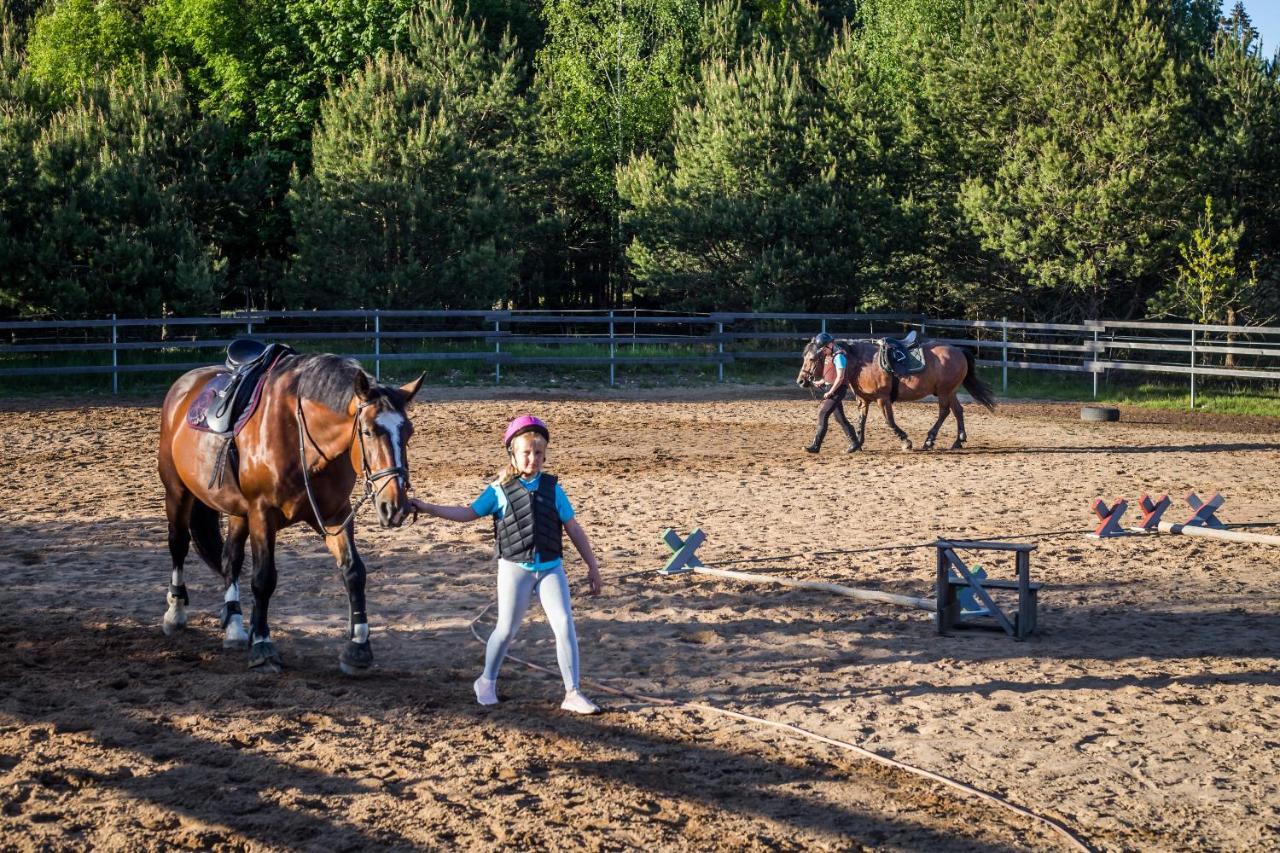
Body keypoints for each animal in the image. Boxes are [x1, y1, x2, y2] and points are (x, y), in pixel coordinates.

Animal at [157, 350, 422, 671]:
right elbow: (263, 578)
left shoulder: (334, 514)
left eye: (408, 433)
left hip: (238, 513)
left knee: (230, 558)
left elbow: (354, 571)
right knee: (178, 544)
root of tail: (185, 384)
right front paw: (262, 645)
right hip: (178, 493)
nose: (395, 507)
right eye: (369, 432)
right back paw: (176, 613)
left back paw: (234, 625)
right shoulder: (262, 513)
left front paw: (358, 646)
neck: (303, 440)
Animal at [793, 335, 993, 448]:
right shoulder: (863, 399)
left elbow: (889, 421)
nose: (801, 381)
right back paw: (958, 441)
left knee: (944, 412)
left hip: (944, 391)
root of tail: (958, 350)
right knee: (958, 411)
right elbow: (861, 421)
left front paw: (905, 441)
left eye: (812, 359)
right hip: (949, 391)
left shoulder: (883, 399)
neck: (862, 363)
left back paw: (930, 440)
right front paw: (857, 443)